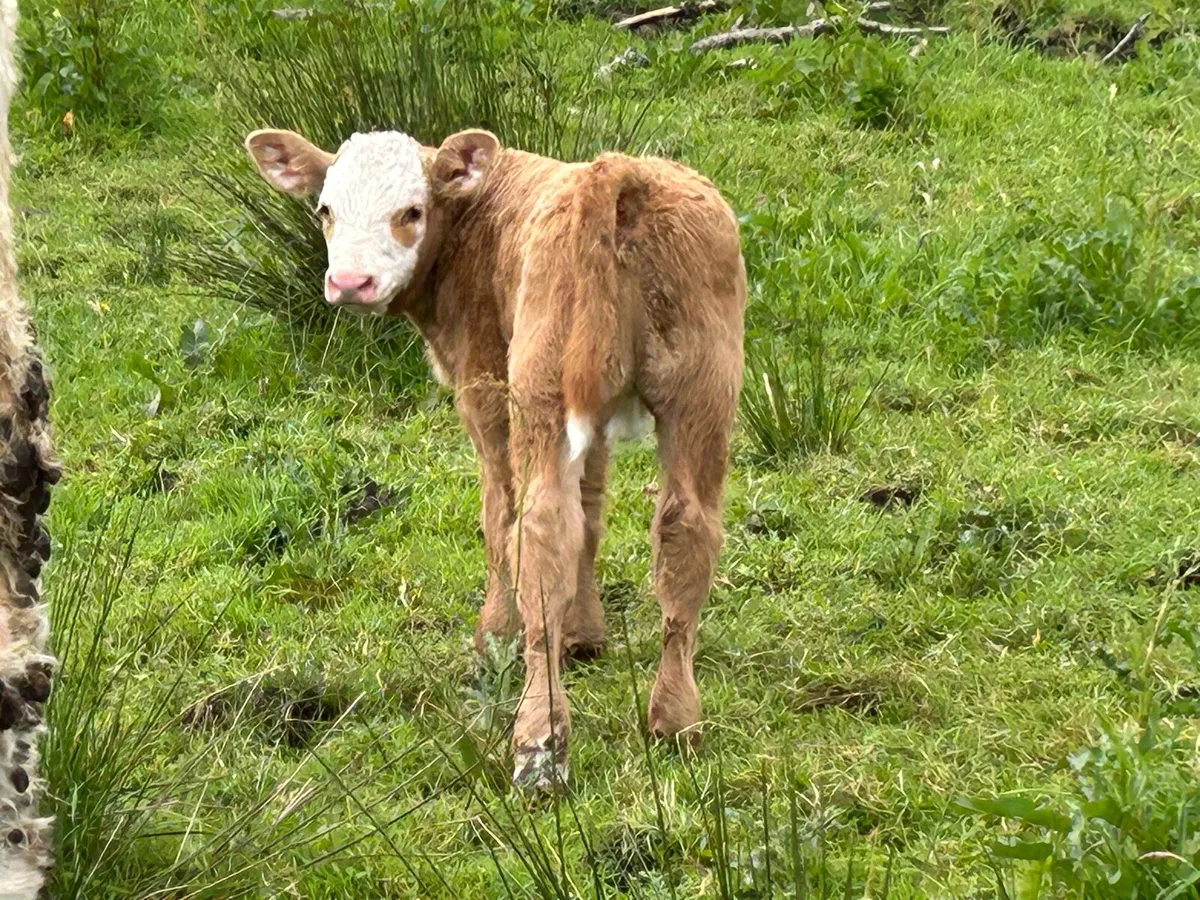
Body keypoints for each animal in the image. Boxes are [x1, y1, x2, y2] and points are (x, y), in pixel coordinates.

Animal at [245, 127, 746, 788]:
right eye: (325, 211)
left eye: (412, 212)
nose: (350, 283)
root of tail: (617, 175)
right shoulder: (598, 417)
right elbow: (592, 507)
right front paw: (585, 634)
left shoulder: (482, 382)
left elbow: (497, 513)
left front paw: (496, 635)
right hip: (702, 391)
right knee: (685, 528)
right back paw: (676, 720)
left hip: (543, 384)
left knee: (541, 527)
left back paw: (539, 741)